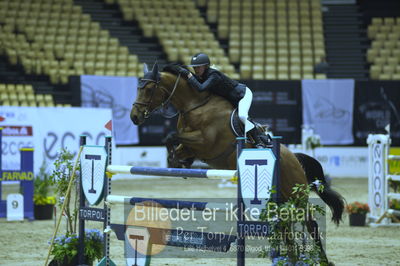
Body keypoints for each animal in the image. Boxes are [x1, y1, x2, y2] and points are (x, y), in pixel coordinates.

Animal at [130, 62, 344, 264]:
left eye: (149, 89)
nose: (134, 117)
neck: (195, 105)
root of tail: (297, 159)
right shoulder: (193, 146)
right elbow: (171, 140)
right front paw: (179, 162)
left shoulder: (206, 142)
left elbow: (171, 135)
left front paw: (179, 161)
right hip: (282, 199)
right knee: (285, 226)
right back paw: (292, 259)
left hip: (296, 194)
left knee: (310, 223)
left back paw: (323, 260)